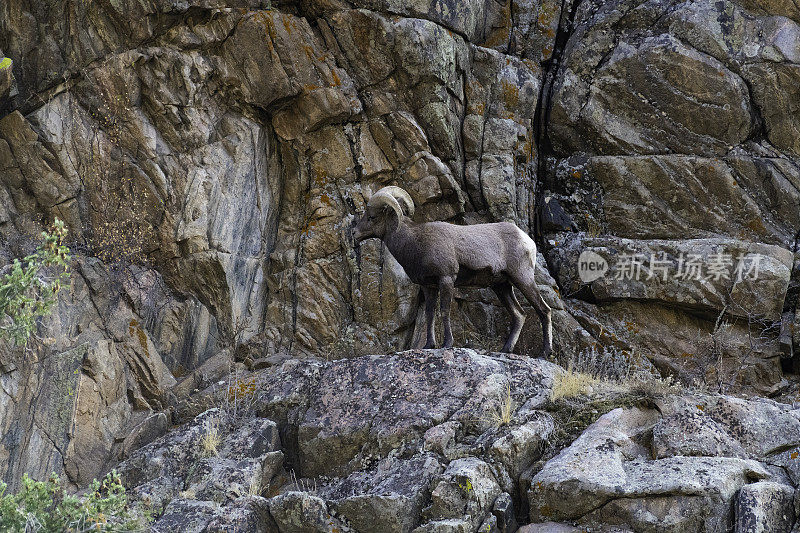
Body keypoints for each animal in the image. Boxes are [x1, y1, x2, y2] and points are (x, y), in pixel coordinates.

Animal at [354, 185, 552, 356]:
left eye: (372, 217)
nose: (355, 233)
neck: (415, 242)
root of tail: (527, 240)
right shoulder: (428, 286)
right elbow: (430, 314)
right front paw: (429, 345)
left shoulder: (446, 279)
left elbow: (444, 311)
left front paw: (447, 343)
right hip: (501, 286)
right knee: (519, 315)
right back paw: (505, 350)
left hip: (522, 278)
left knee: (543, 310)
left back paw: (545, 353)